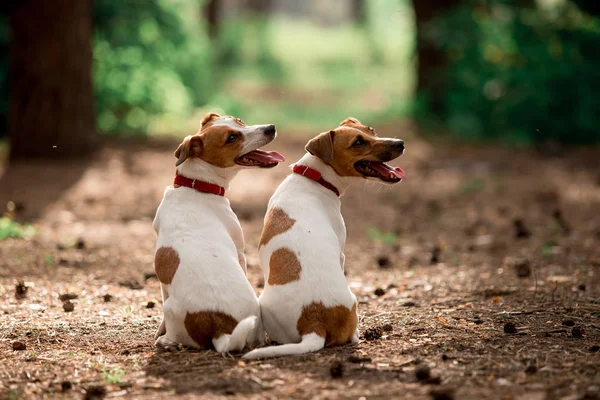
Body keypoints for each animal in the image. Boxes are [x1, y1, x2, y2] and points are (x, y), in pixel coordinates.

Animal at [155, 112, 286, 354]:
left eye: (239, 121)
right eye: (231, 138)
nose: (271, 128)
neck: (196, 186)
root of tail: (220, 324)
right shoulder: (241, 253)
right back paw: (166, 341)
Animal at [243, 116, 404, 360]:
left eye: (372, 130)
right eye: (358, 142)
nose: (400, 143)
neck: (314, 178)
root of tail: (314, 323)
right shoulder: (341, 252)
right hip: (353, 302)